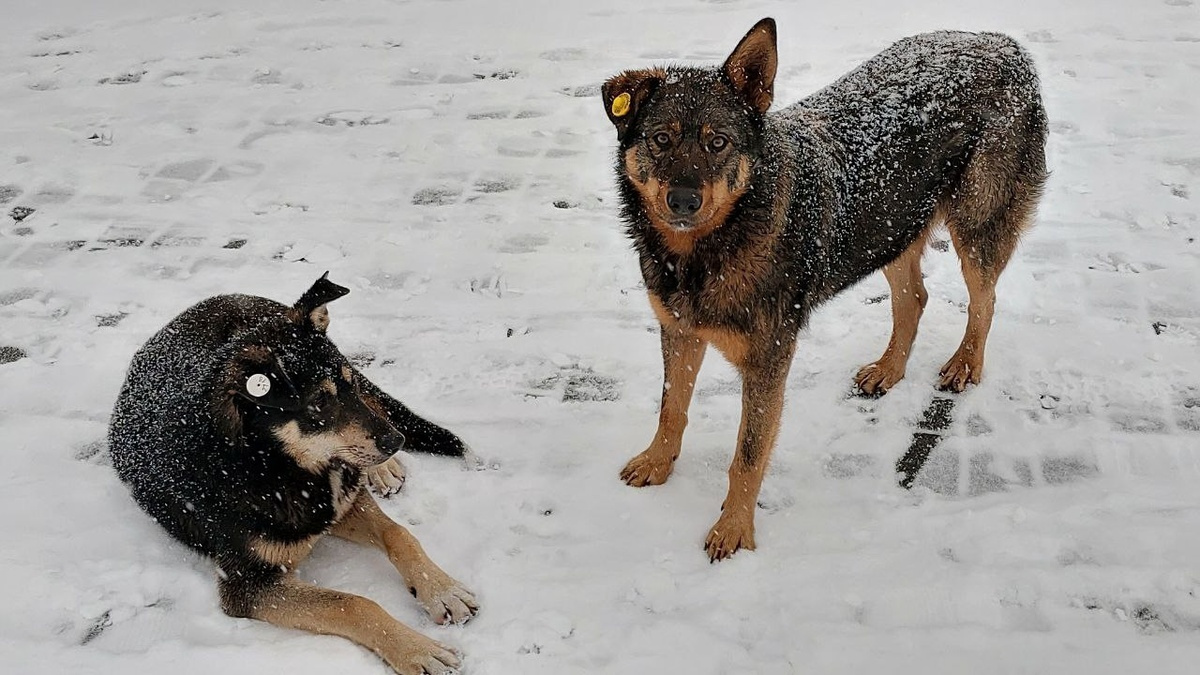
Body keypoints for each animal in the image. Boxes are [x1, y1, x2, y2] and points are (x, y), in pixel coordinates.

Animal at [106, 271, 472, 672]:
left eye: (348, 385)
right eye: (318, 404)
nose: (396, 441)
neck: (272, 463)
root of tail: (222, 297)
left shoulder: (338, 501)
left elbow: (398, 533)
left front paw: (442, 590)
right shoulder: (249, 585)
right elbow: (353, 604)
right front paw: (416, 649)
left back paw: (383, 470)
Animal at [604, 19, 1046, 557]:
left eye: (718, 143)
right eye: (661, 139)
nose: (683, 201)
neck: (708, 249)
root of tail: (1000, 41)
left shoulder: (768, 359)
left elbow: (747, 455)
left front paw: (734, 529)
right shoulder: (680, 330)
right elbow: (672, 408)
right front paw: (658, 462)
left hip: (975, 226)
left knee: (985, 300)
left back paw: (966, 363)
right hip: (888, 228)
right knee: (914, 299)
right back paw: (889, 368)